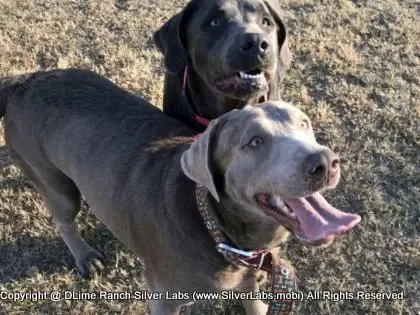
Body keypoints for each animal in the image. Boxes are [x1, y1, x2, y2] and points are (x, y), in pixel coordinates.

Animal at [0, 69, 360, 315]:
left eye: (305, 124)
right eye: (254, 142)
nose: (324, 162)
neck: (216, 229)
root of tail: (23, 81)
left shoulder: (250, 287)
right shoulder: (163, 298)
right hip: (53, 180)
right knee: (63, 219)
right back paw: (85, 257)